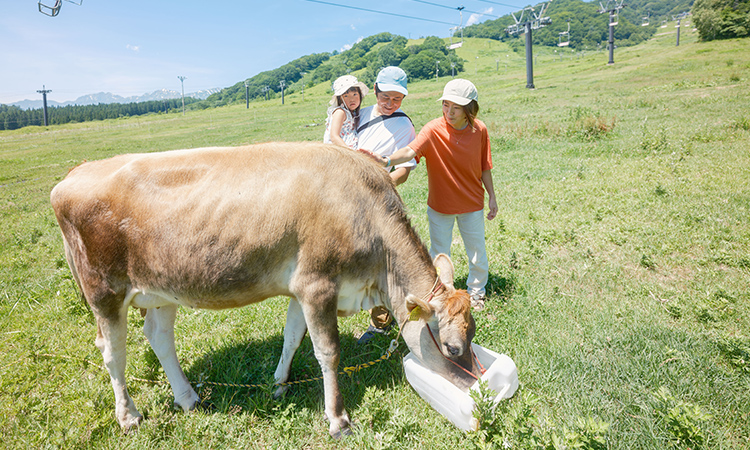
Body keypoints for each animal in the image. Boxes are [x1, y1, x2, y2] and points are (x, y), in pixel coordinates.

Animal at [50, 142, 478, 438]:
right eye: (452, 348)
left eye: (473, 333)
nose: (476, 387)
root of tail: (75, 173)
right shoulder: (318, 284)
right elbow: (328, 352)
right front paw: (338, 419)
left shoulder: (300, 289)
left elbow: (292, 338)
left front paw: (278, 384)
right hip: (104, 291)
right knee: (112, 353)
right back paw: (129, 416)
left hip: (161, 288)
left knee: (158, 337)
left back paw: (188, 398)